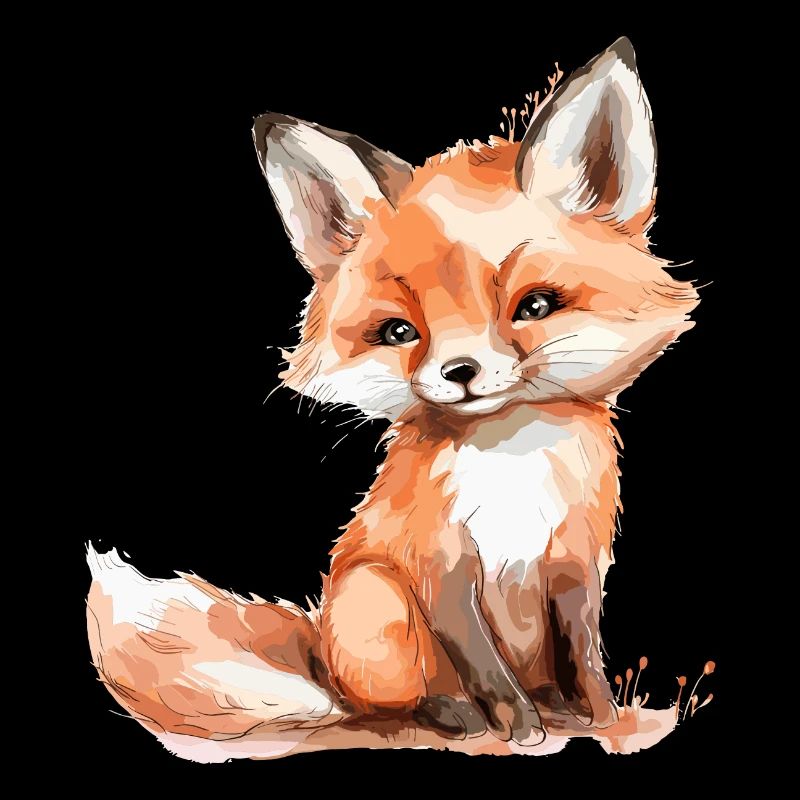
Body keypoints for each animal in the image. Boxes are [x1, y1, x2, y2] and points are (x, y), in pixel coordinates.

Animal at [87, 37, 699, 758]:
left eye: (535, 306)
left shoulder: (574, 563)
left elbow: (587, 657)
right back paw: (458, 716)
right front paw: (522, 729)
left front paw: (604, 722)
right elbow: (487, 670)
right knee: (395, 701)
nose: (460, 370)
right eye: (400, 332)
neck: (514, 464)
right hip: (373, 600)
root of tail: (322, 659)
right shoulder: (441, 572)